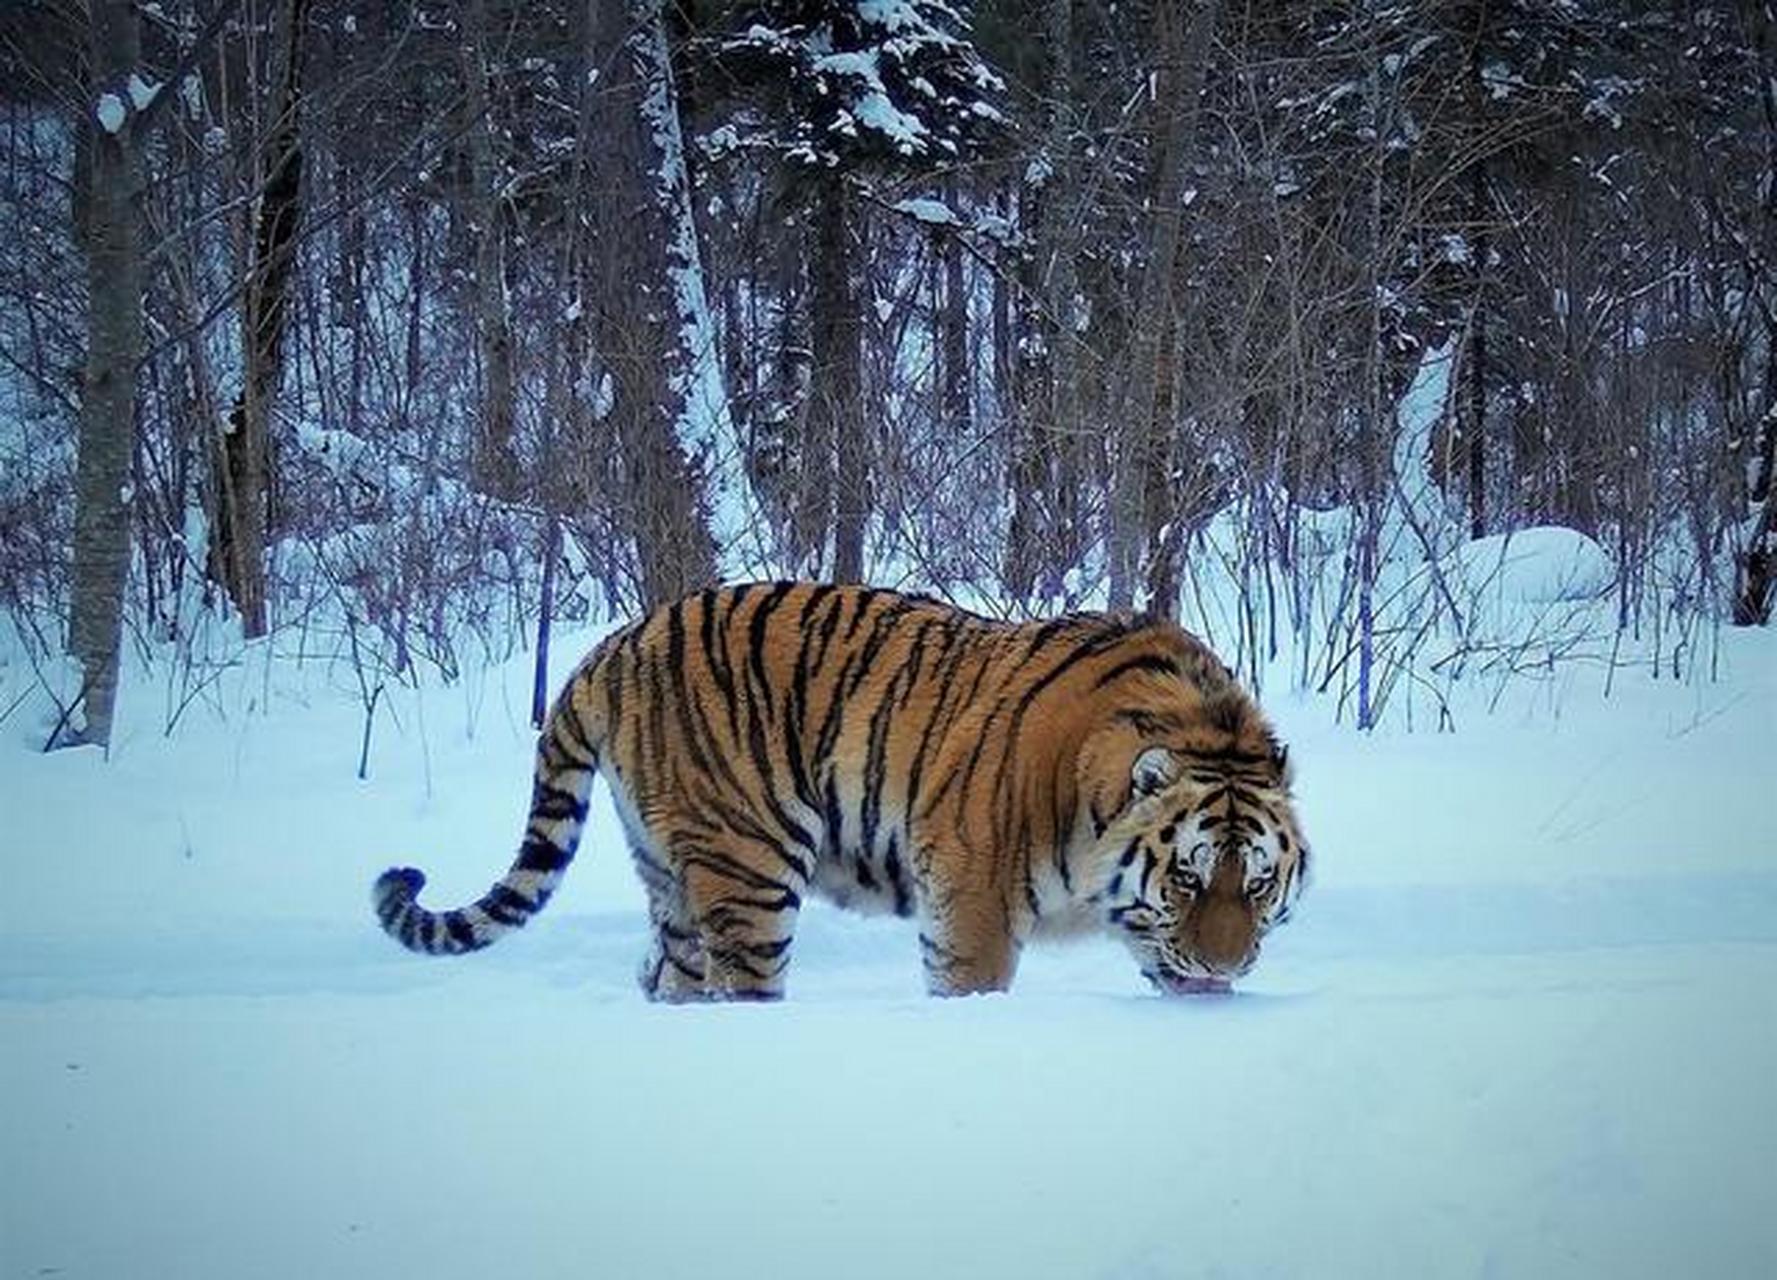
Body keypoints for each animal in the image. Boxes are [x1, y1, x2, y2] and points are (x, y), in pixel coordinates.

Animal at [371, 579, 1307, 1002]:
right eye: (1185, 875)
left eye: (1257, 880)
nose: (1227, 962)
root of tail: (613, 645)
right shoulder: (971, 903)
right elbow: (971, 987)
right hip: (748, 869)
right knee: (737, 989)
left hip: (670, 878)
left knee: (669, 978)